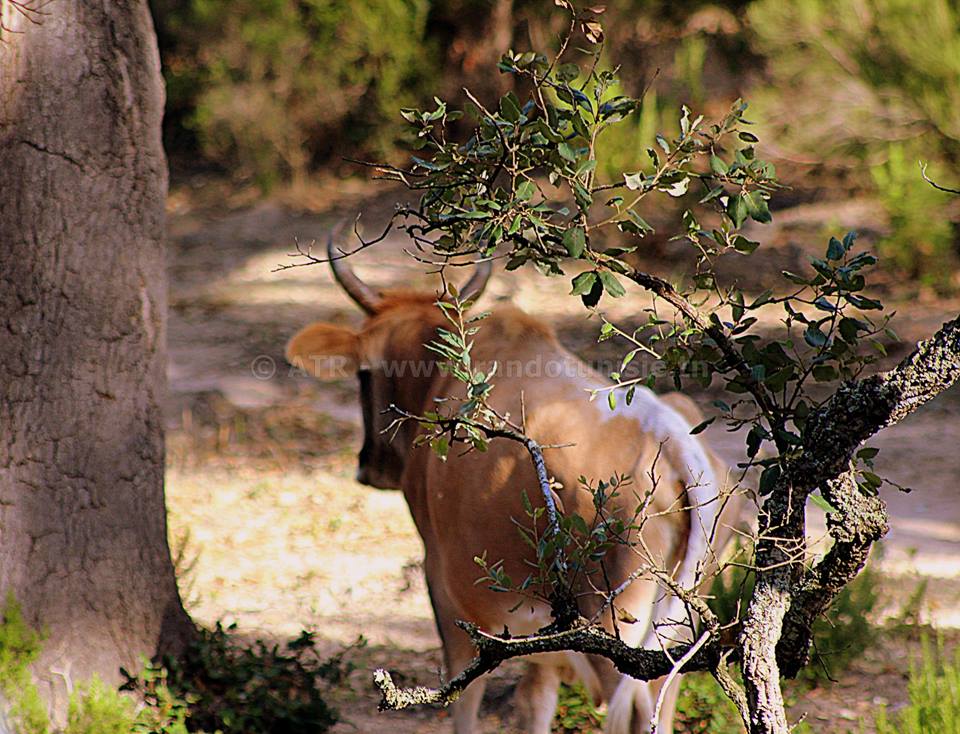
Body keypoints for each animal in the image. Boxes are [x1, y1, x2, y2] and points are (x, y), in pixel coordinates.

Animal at [288, 239, 740, 732]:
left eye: (364, 374)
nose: (369, 466)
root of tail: (671, 440)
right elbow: (536, 701)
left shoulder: (444, 585)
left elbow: (463, 698)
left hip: (615, 630)